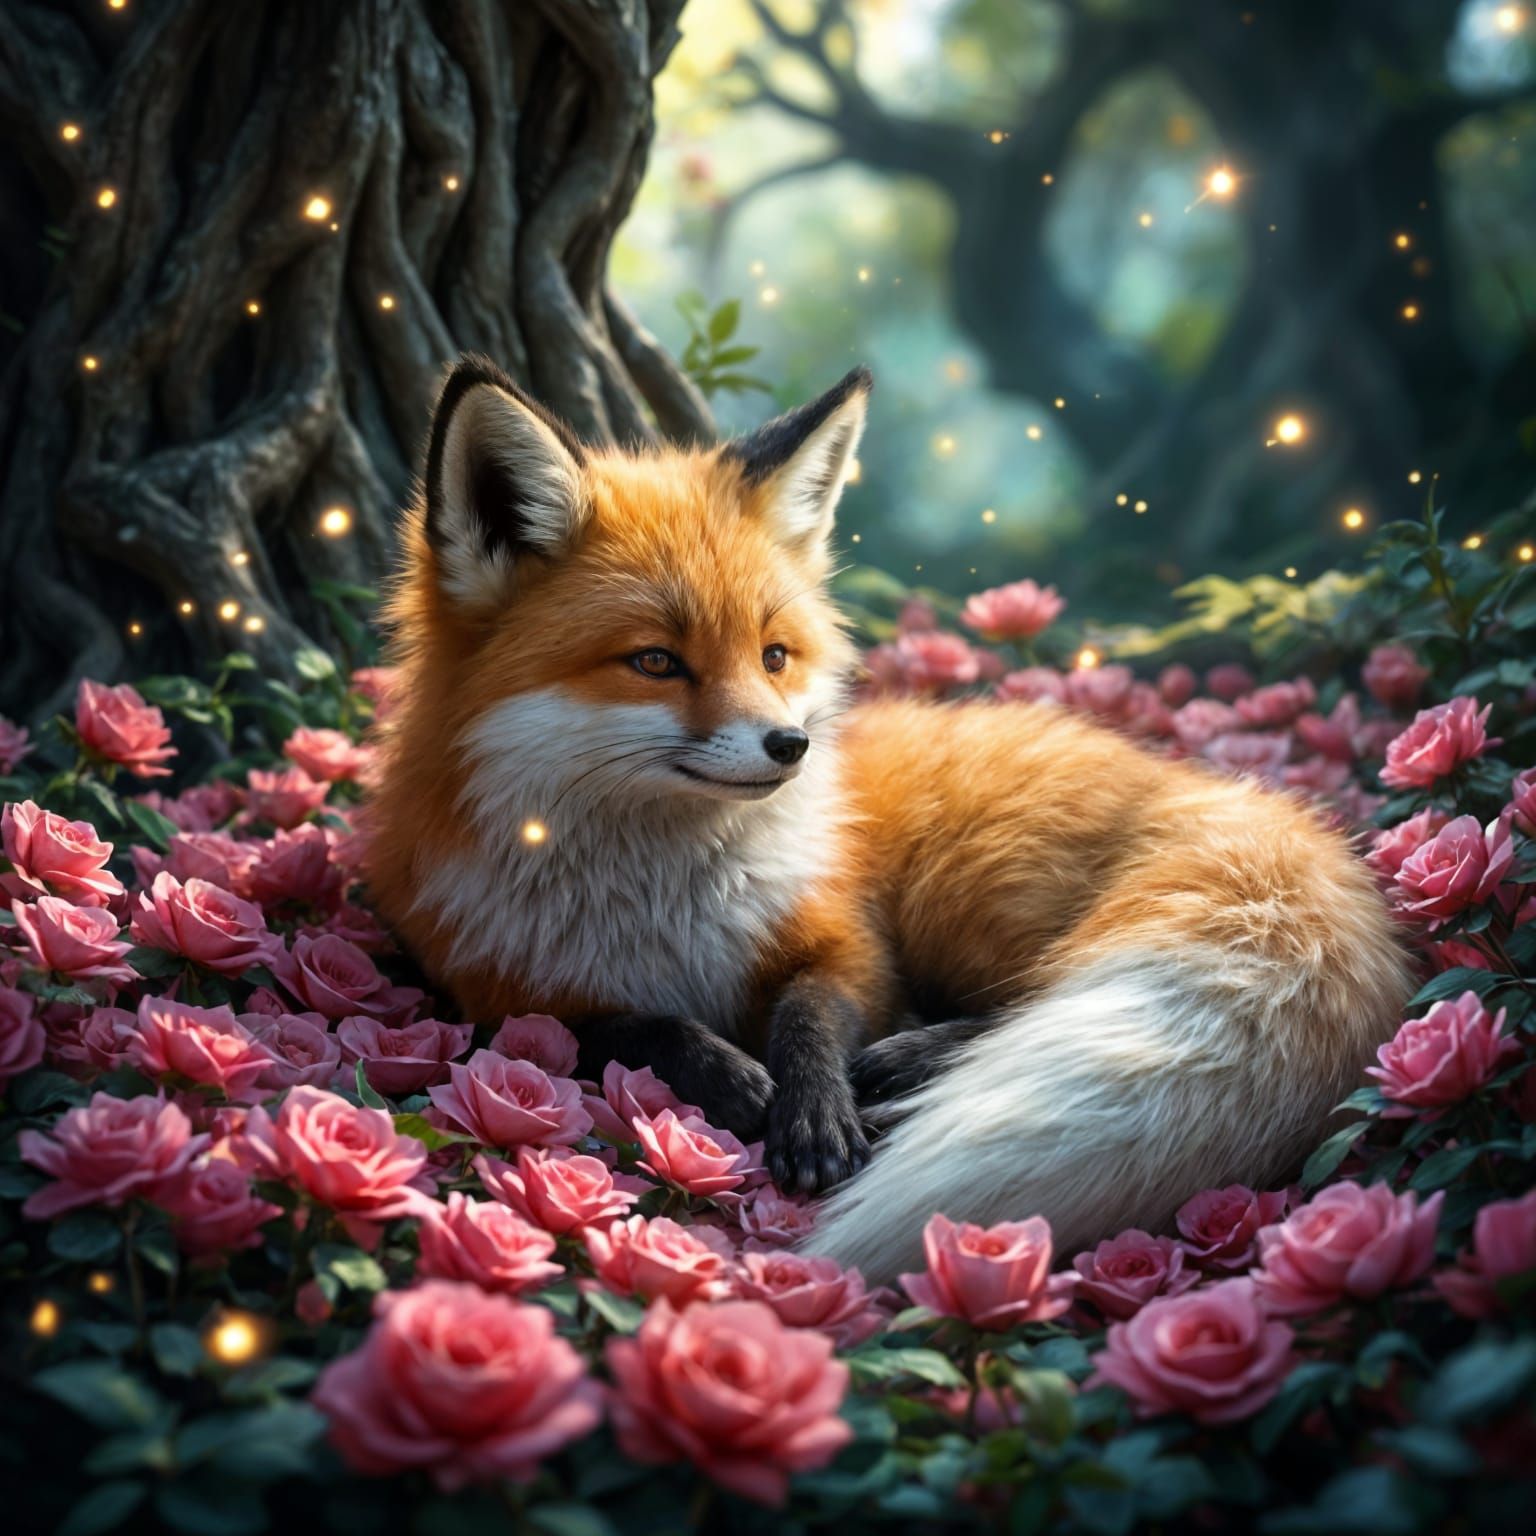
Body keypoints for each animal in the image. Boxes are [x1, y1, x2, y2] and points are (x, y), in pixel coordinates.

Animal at [366, 353, 1412, 1281]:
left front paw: (812, 1111)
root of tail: (1217, 790)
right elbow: (626, 1026)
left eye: (774, 654)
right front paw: (726, 1074)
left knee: (1021, 1003)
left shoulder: (848, 941)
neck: (663, 906)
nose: (791, 747)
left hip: (960, 898)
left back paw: (910, 1064)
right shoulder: (491, 995)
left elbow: (811, 1013)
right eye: (656, 662)